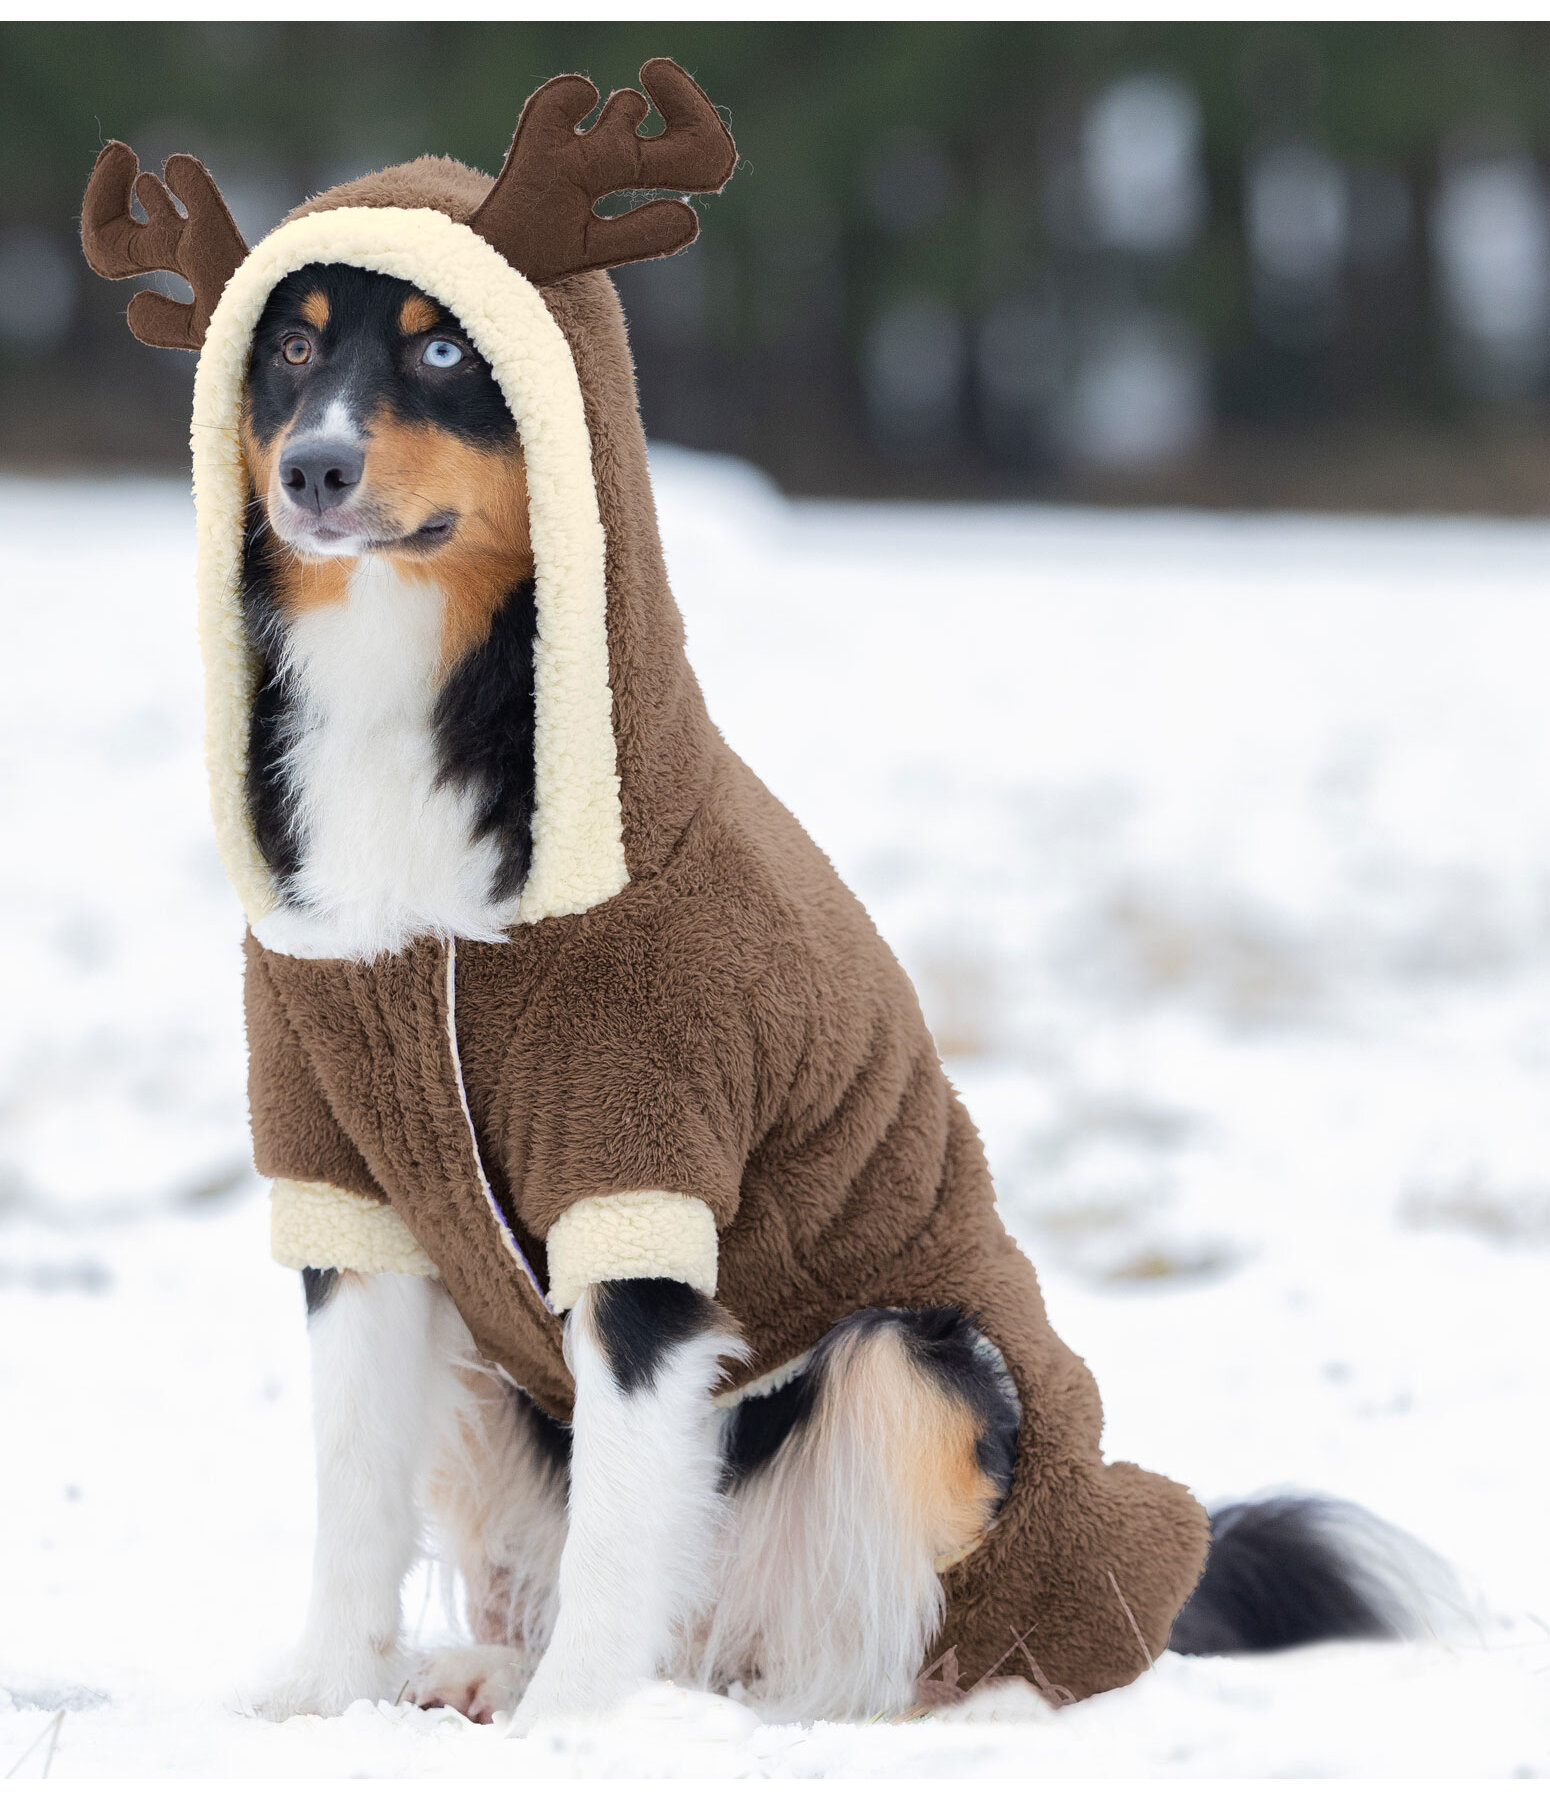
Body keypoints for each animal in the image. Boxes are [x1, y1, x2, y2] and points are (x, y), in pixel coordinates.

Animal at [81, 59, 1440, 1728]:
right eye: (286, 345)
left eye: (445, 348)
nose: (311, 470)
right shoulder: (351, 1196)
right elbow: (353, 1496)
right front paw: (324, 1703)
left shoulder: (645, 1180)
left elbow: (620, 1528)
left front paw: (575, 1732)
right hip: (503, 1372)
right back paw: (485, 1668)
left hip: (919, 1358)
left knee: (877, 1629)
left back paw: (839, 1711)